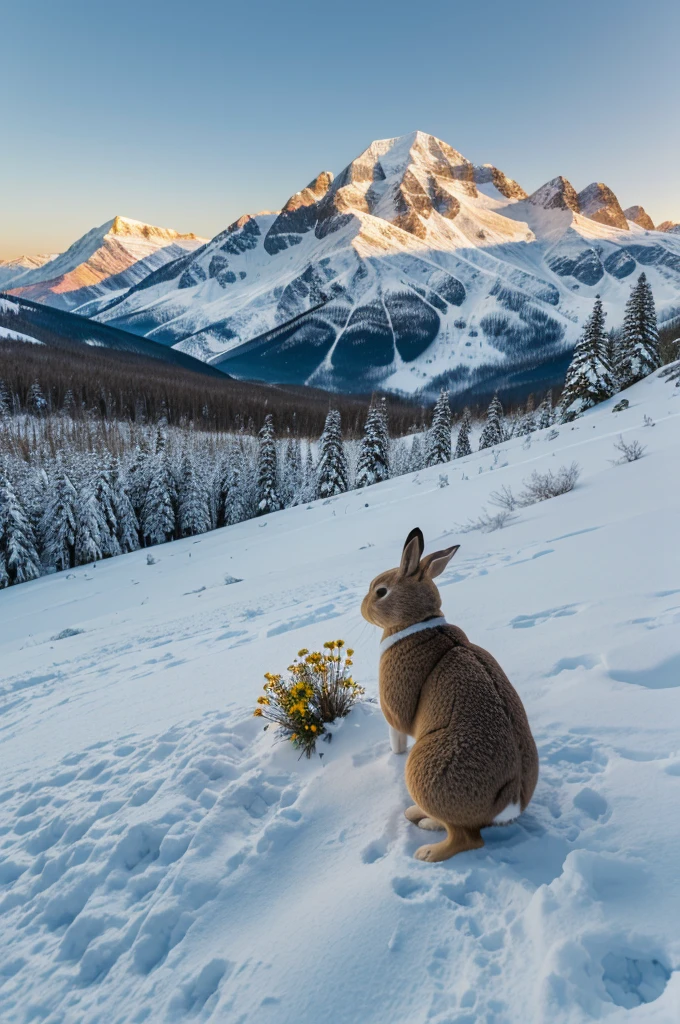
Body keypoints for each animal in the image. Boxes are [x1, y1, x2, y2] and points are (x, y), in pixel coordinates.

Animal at [361, 527, 539, 862]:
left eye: (381, 592)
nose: (362, 608)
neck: (416, 621)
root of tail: (508, 803)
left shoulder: (395, 703)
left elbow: (397, 728)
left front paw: (393, 753)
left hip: (424, 775)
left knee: (466, 839)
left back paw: (427, 850)